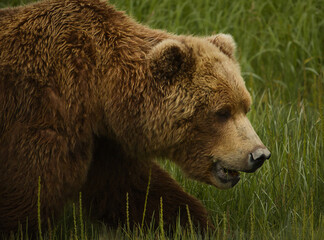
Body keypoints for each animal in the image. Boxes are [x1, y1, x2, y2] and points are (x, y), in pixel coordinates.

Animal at [0, 0, 270, 234]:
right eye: (222, 112)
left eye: (245, 107)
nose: (259, 154)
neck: (98, 89)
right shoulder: (42, 109)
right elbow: (30, 189)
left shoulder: (103, 141)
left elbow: (135, 189)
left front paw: (196, 225)